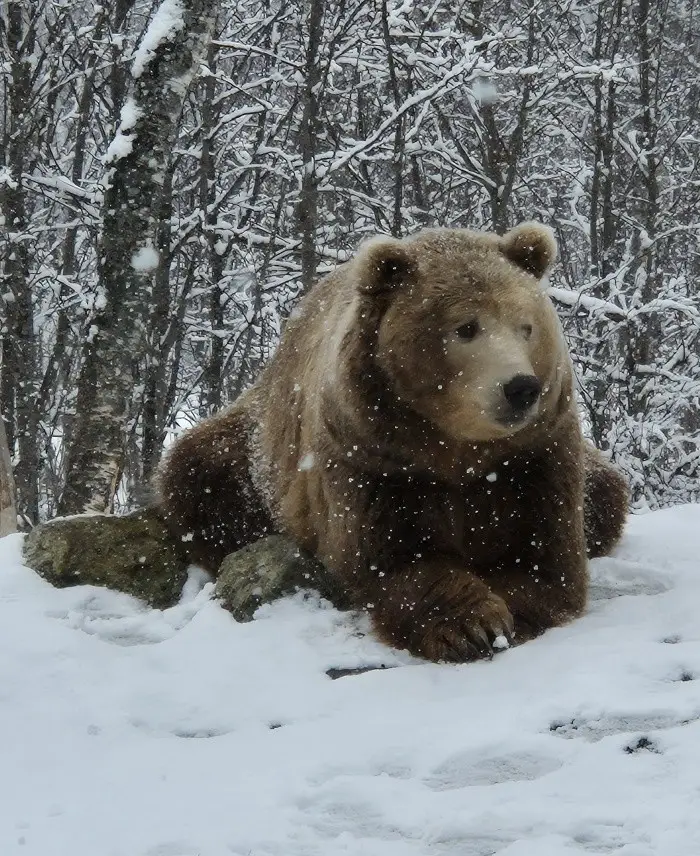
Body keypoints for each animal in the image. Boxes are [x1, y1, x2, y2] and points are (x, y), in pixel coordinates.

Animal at [156, 222, 629, 663]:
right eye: (466, 327)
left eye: (526, 326)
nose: (521, 388)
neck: (454, 446)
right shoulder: (374, 455)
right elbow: (393, 558)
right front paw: (471, 624)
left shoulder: (532, 453)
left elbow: (543, 555)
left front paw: (507, 609)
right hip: (253, 451)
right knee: (200, 474)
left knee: (606, 491)